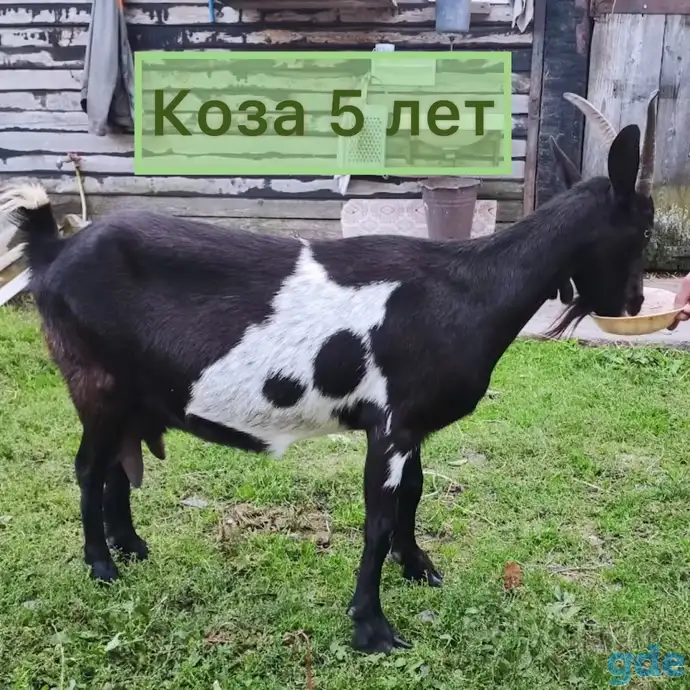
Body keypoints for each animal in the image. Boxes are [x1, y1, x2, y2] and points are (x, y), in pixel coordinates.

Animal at [0, 90, 658, 655]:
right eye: (645, 226)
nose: (632, 304)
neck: (469, 288)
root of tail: (53, 253)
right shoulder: (389, 425)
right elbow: (379, 520)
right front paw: (373, 628)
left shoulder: (410, 424)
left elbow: (414, 494)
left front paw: (419, 569)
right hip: (94, 380)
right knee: (89, 468)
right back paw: (102, 566)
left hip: (131, 392)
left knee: (117, 461)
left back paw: (133, 548)